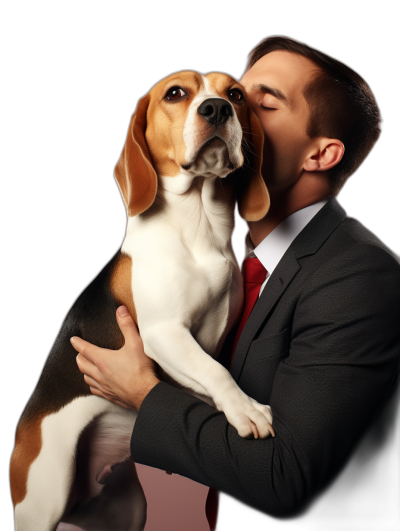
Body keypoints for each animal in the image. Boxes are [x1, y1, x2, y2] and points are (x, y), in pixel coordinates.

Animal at [10, 70, 272, 531]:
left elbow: (211, 369)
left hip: (128, 510)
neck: (197, 225)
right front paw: (247, 410)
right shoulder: (164, 334)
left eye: (236, 95)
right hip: (43, 501)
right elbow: (216, 371)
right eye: (175, 93)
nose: (217, 109)